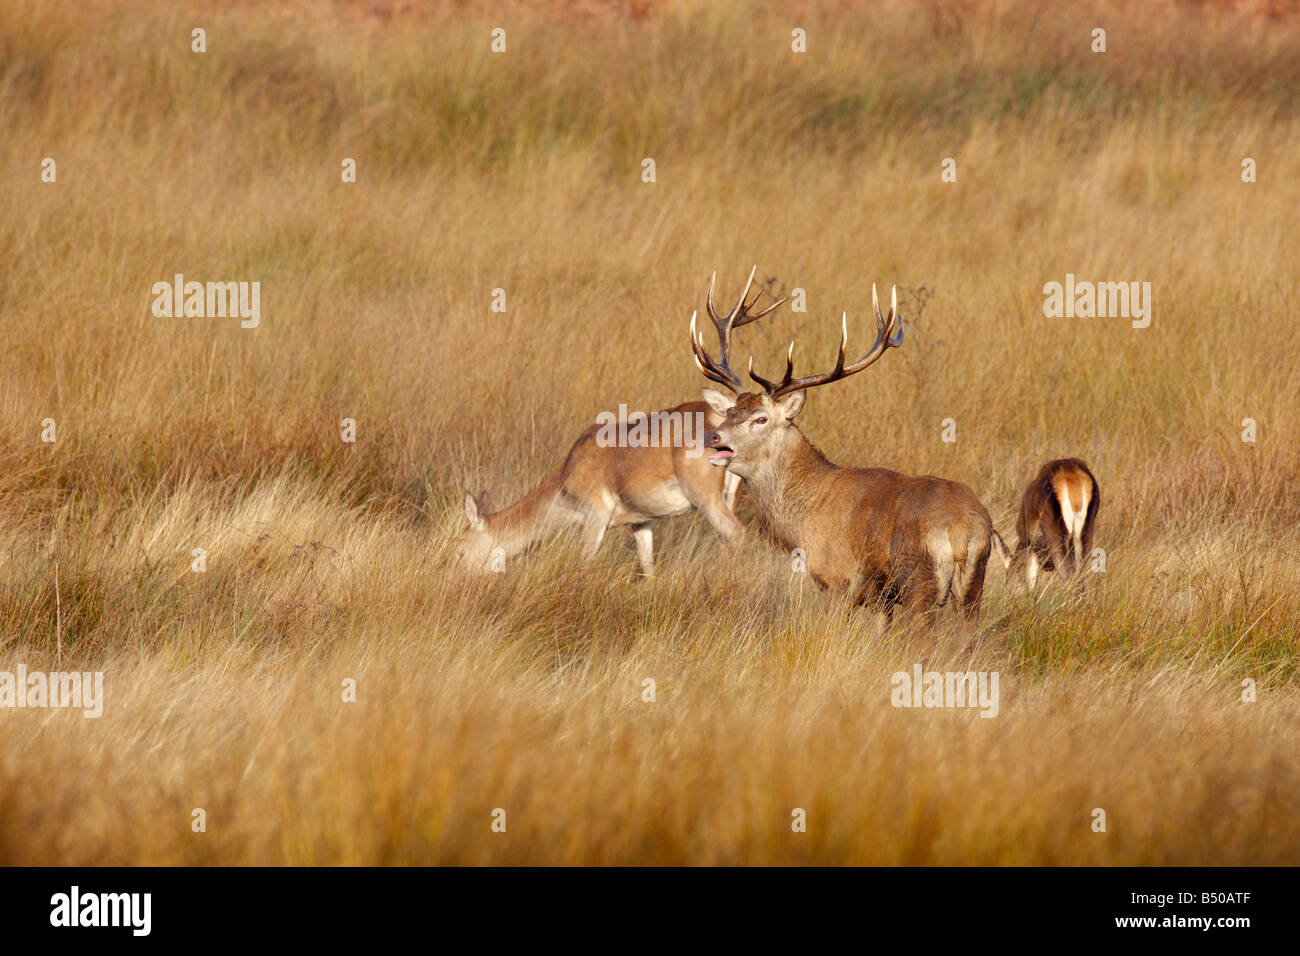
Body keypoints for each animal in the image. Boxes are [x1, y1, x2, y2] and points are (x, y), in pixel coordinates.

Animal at [690, 267, 1007, 637]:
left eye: (761, 418)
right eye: (729, 411)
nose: (713, 436)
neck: (803, 517)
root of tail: (963, 529)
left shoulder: (836, 580)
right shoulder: (882, 601)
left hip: (920, 581)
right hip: (973, 586)